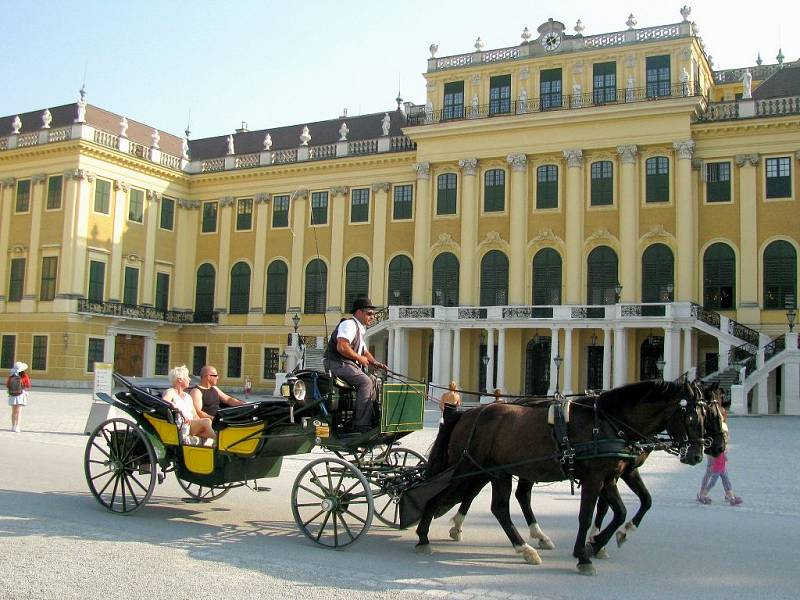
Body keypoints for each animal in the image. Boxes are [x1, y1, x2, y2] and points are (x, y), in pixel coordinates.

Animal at [418, 382, 708, 576]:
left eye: (708, 415)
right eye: (692, 417)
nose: (698, 454)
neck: (608, 423)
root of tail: (465, 413)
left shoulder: (611, 477)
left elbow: (624, 510)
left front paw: (600, 543)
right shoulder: (594, 478)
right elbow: (587, 515)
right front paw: (584, 555)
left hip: (495, 471)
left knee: (498, 507)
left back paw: (524, 546)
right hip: (466, 468)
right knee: (437, 493)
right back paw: (424, 536)